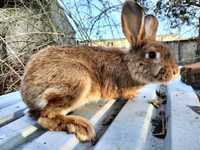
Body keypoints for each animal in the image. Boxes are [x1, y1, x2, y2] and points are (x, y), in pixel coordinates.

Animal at [20, 0, 180, 142]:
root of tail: (26, 90)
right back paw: (81, 127)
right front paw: (131, 96)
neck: (128, 65)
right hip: (78, 82)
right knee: (45, 116)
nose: (175, 72)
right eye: (152, 55)